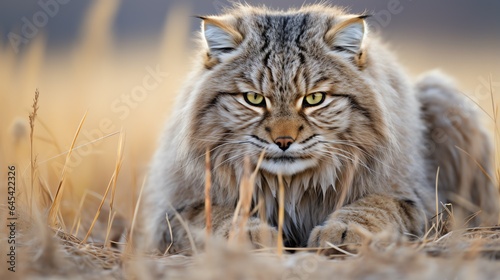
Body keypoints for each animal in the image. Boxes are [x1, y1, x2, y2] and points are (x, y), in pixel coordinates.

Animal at [139, 3, 498, 254]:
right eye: (254, 99)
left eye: (314, 99)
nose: (283, 141)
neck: (292, 185)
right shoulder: (172, 208)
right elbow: (213, 212)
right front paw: (248, 233)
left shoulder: (418, 196)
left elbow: (378, 203)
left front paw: (348, 230)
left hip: (441, 93)